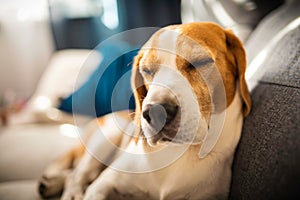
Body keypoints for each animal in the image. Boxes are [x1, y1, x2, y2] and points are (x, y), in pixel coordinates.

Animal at [39, 22, 251, 200]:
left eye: (200, 62)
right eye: (147, 70)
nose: (156, 112)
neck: (177, 153)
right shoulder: (102, 186)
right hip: (106, 137)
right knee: (77, 175)